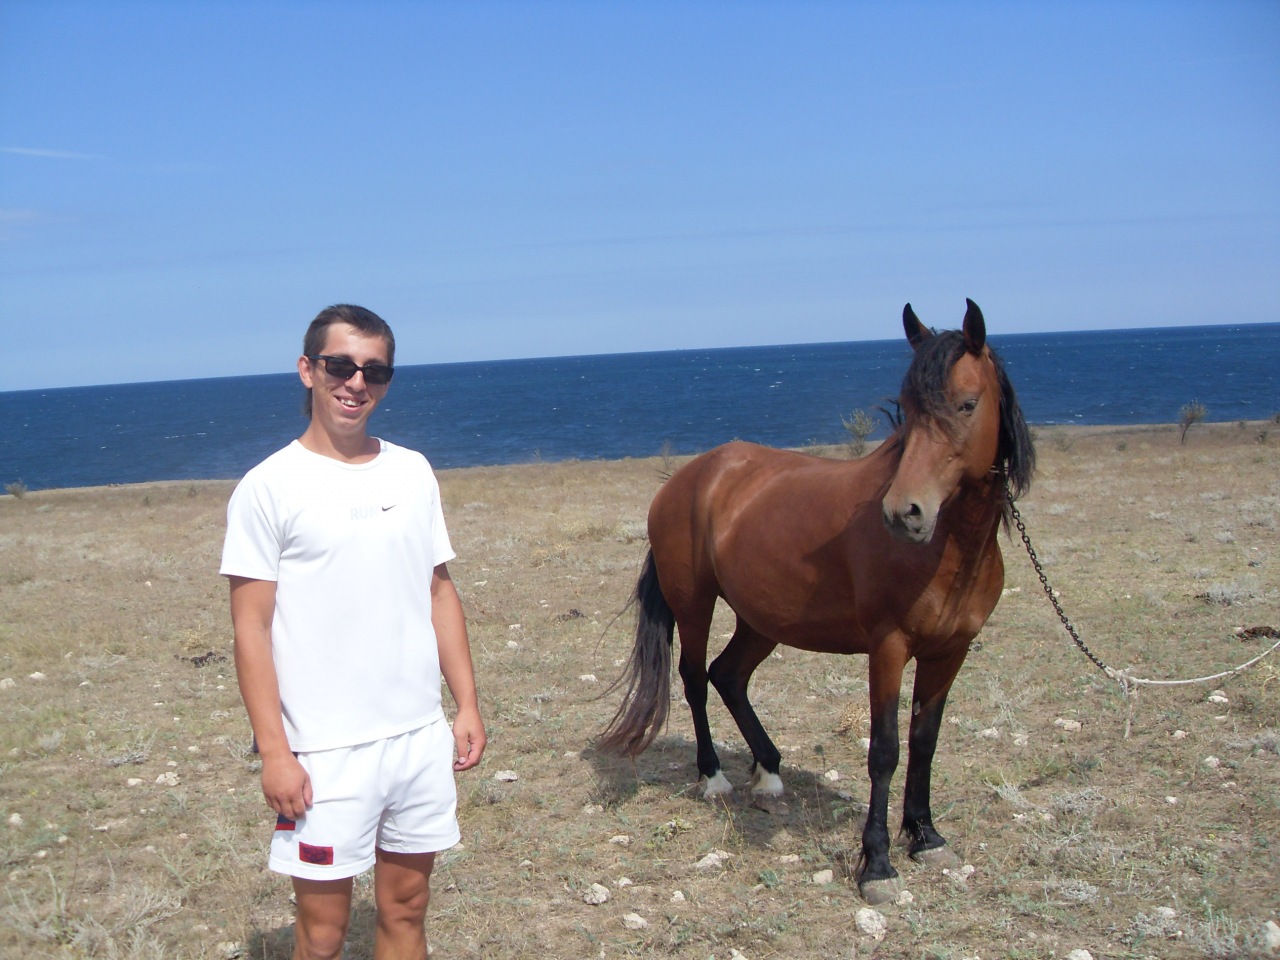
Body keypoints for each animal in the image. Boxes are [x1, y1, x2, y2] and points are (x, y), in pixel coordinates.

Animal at [599, 299, 1035, 903]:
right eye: (908, 409)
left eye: (968, 404)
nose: (905, 513)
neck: (951, 547)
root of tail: (687, 478)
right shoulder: (888, 649)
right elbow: (885, 750)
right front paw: (877, 863)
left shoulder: (952, 651)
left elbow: (924, 741)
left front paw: (925, 836)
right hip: (696, 604)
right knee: (694, 678)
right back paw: (713, 776)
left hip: (762, 620)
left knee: (728, 675)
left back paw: (769, 769)